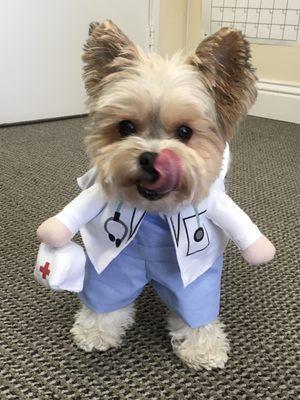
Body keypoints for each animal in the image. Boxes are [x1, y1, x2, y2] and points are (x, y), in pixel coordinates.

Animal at [36, 21, 276, 368]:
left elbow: (197, 309)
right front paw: (96, 331)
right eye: (125, 127)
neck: (155, 214)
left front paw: (202, 347)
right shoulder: (114, 265)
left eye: (185, 132)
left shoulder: (194, 279)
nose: (150, 158)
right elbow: (106, 297)